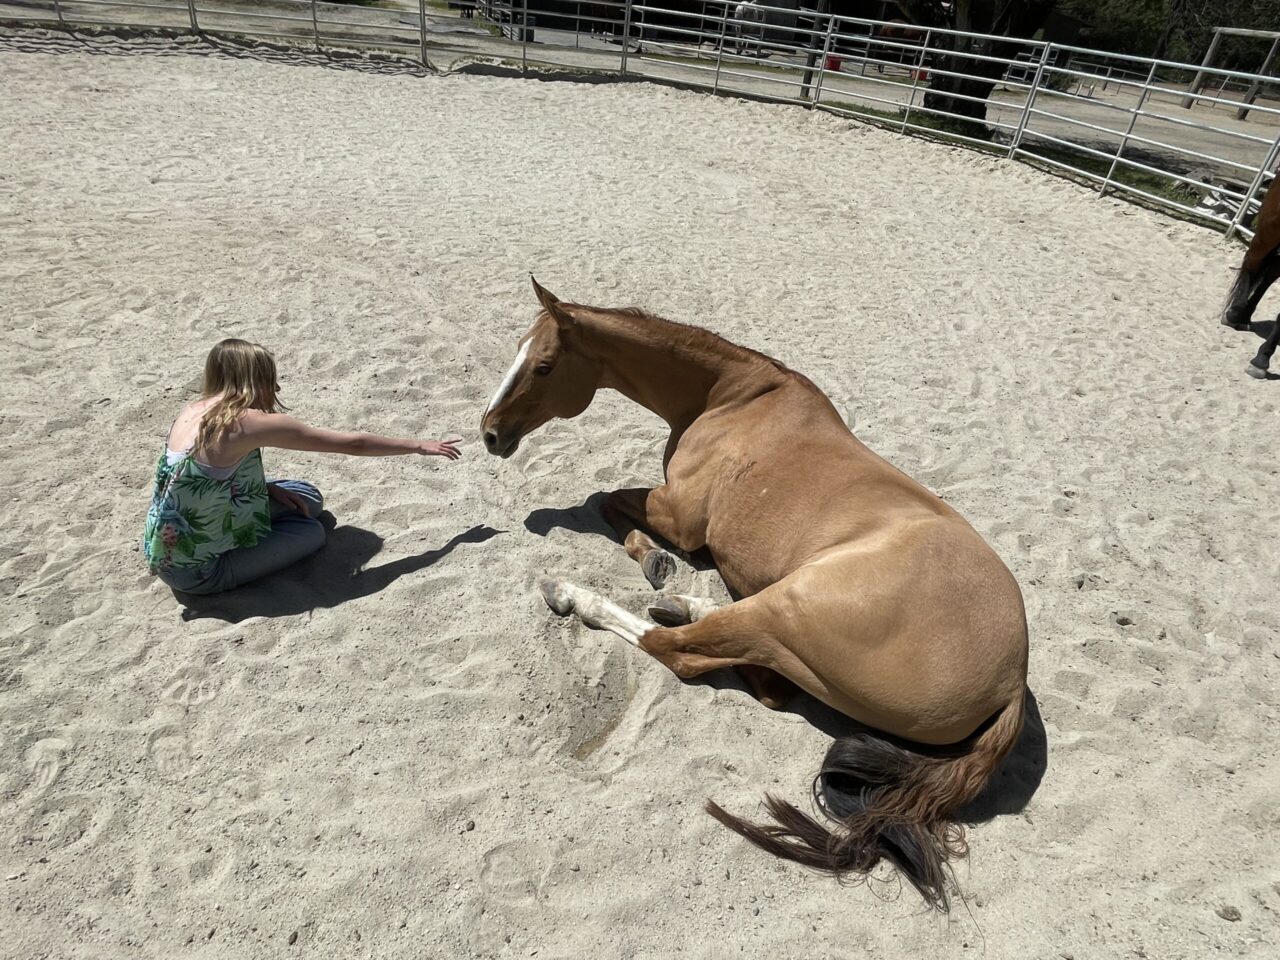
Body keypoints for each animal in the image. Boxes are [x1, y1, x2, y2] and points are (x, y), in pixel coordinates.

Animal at [481, 278, 1029, 910]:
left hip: (786, 607)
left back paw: (575, 594)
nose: (489, 433)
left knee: (686, 654)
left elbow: (606, 499)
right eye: (517, 352)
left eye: (544, 365)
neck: (729, 398)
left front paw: (653, 561)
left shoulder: (679, 516)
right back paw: (682, 603)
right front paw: (661, 571)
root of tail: (1012, 680)